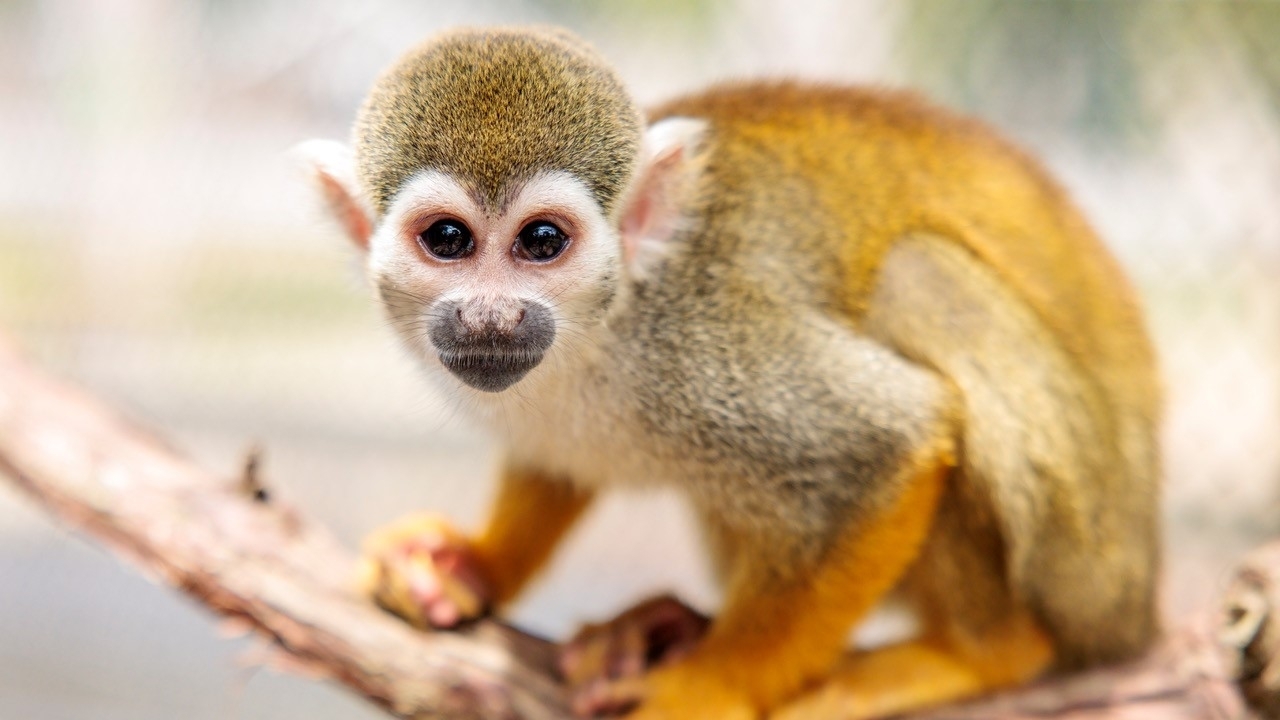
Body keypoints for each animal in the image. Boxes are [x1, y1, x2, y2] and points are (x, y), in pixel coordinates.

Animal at [297, 25, 1161, 720]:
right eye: (447, 239)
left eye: (542, 241)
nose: (491, 318)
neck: (605, 331)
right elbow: (556, 462)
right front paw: (471, 565)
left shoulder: (707, 348)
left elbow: (892, 445)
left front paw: (710, 688)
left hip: (1092, 565)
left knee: (918, 276)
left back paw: (979, 652)